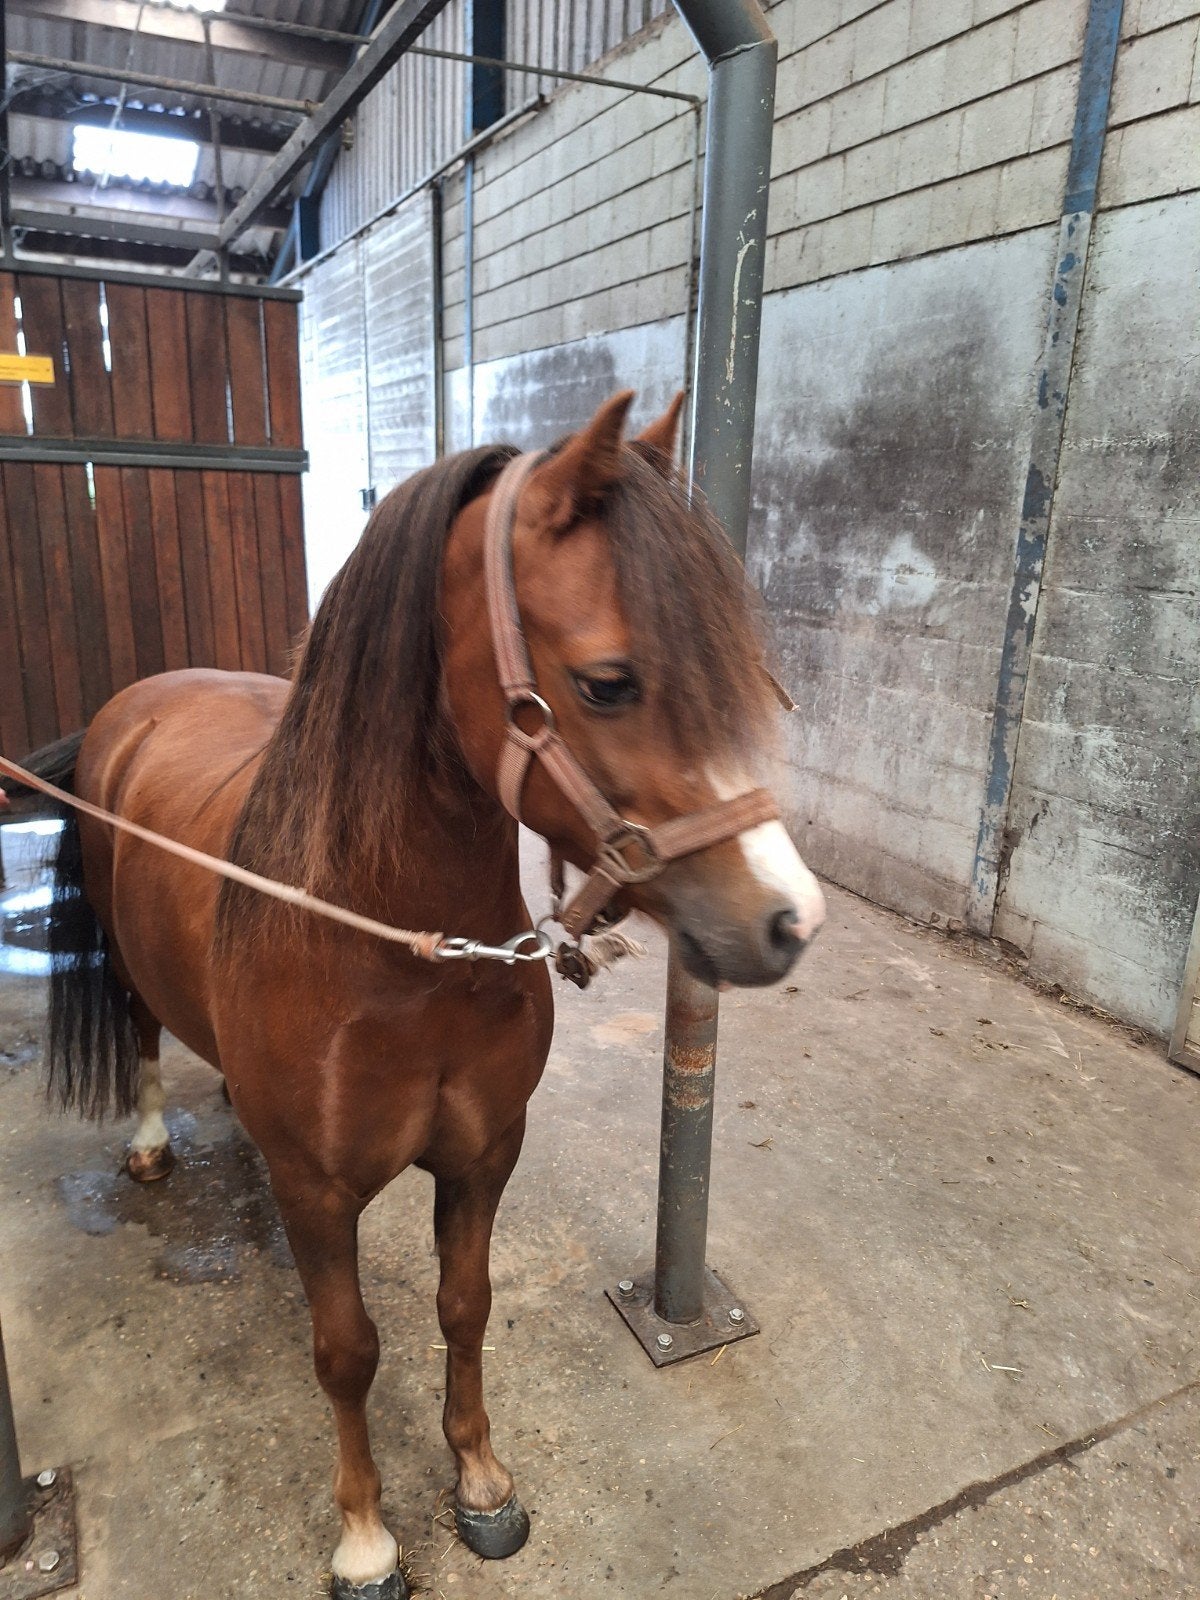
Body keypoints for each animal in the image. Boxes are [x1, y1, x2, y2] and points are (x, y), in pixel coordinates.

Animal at [7, 391, 825, 1598]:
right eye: (608, 682)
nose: (788, 919)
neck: (399, 960)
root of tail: (143, 700)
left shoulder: (483, 1157)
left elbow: (463, 1307)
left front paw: (481, 1483)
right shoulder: (316, 1192)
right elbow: (346, 1352)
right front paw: (364, 1535)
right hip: (122, 955)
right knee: (145, 1028)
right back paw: (152, 1140)